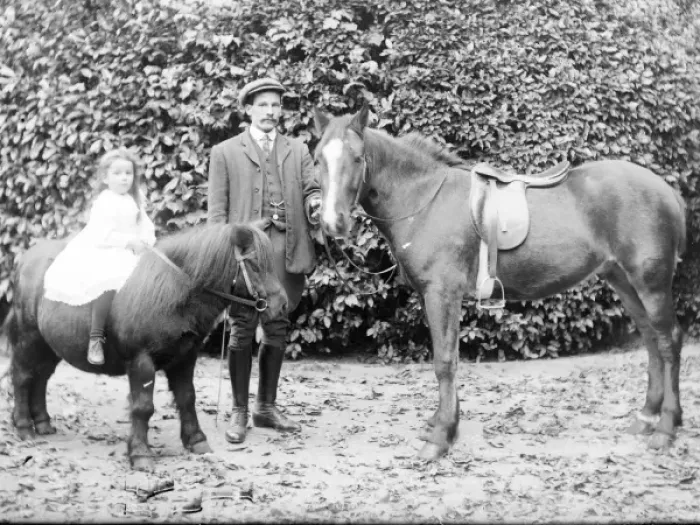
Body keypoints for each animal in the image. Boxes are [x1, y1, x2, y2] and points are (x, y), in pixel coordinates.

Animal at [8, 222, 287, 471]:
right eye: (255, 264)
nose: (282, 305)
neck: (173, 291)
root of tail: (24, 259)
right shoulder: (141, 361)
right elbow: (143, 407)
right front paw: (140, 454)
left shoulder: (185, 357)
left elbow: (187, 398)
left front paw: (196, 441)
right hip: (28, 338)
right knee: (22, 377)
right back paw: (24, 427)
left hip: (48, 345)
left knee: (41, 378)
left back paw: (43, 423)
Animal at [313, 105, 687, 461]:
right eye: (318, 159)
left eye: (357, 158)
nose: (333, 223)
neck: (424, 199)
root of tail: (666, 190)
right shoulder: (432, 296)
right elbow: (450, 358)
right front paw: (444, 424)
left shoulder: (441, 294)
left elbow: (444, 362)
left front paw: (440, 438)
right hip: (622, 280)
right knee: (650, 339)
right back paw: (647, 416)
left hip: (650, 283)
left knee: (668, 341)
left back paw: (666, 428)